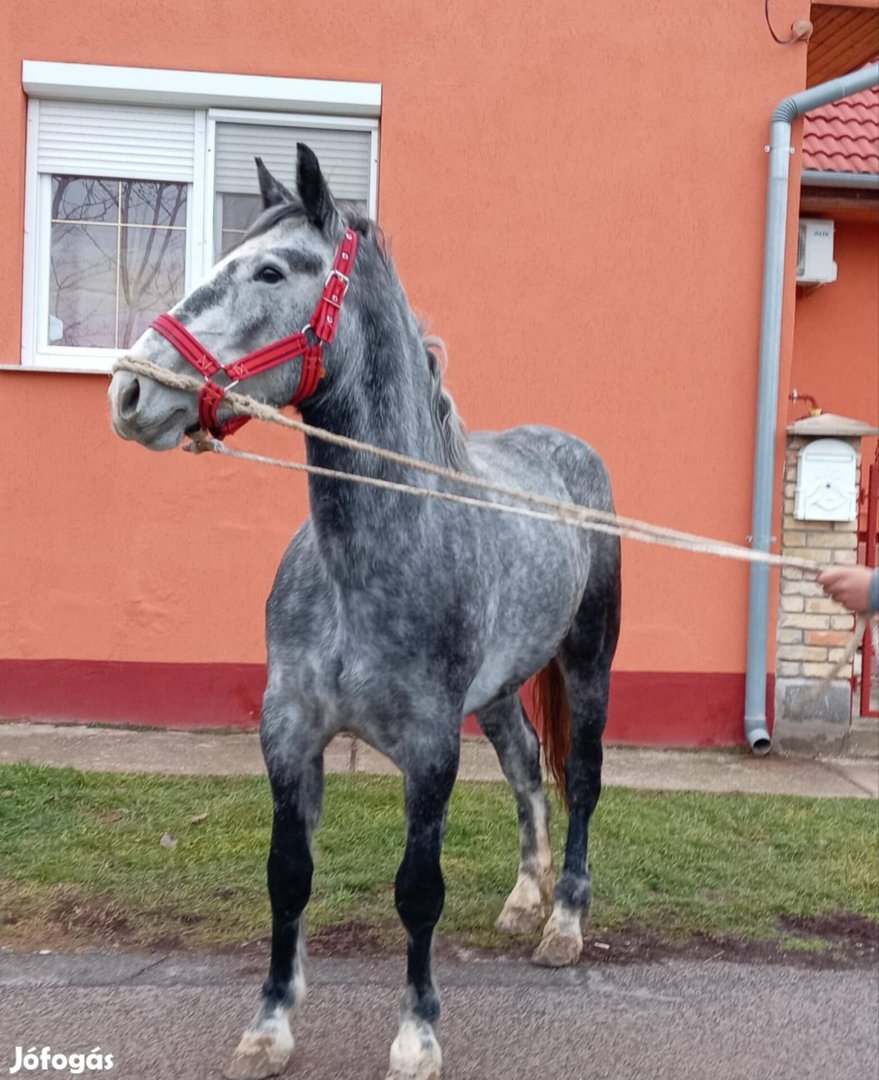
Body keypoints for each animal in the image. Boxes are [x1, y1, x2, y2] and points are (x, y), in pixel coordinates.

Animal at [108, 145, 617, 1080]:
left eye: (272, 271)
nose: (129, 391)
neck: (366, 565)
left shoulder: (429, 748)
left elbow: (417, 892)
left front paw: (416, 1035)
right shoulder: (289, 731)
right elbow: (287, 874)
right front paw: (270, 1024)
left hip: (588, 660)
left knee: (584, 779)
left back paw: (562, 922)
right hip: (497, 694)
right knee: (527, 767)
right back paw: (523, 900)